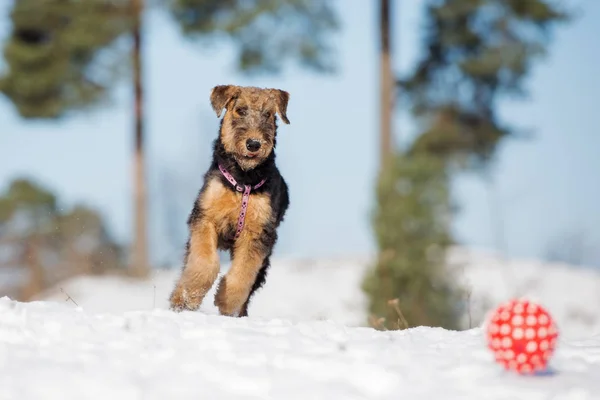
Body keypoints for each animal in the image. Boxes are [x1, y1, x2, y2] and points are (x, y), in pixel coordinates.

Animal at [169, 85, 290, 318]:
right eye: (240, 110)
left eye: (268, 114)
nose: (254, 144)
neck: (243, 178)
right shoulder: (205, 217)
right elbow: (205, 263)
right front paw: (190, 296)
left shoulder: (257, 233)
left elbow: (242, 275)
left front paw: (225, 300)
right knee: (187, 267)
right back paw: (178, 300)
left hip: (265, 260)